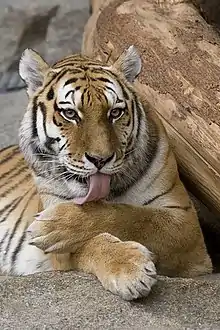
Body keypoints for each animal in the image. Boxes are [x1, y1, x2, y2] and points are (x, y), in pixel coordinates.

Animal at [0, 45, 212, 300]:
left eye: (115, 113)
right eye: (70, 114)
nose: (100, 159)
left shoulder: (185, 221)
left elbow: (133, 216)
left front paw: (52, 224)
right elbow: (91, 243)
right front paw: (129, 267)